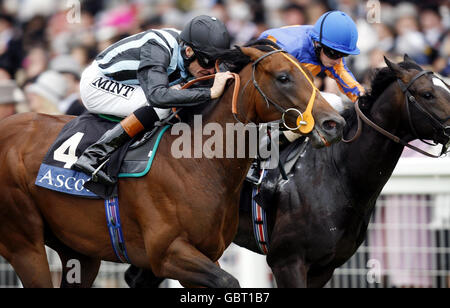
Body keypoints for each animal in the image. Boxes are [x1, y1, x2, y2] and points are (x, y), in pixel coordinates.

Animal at [0, 44, 344, 288]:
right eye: (284, 77)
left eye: (311, 75)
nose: (334, 124)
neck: (198, 162)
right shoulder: (168, 253)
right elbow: (228, 281)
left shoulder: (206, 254)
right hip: (24, 243)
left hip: (78, 251)